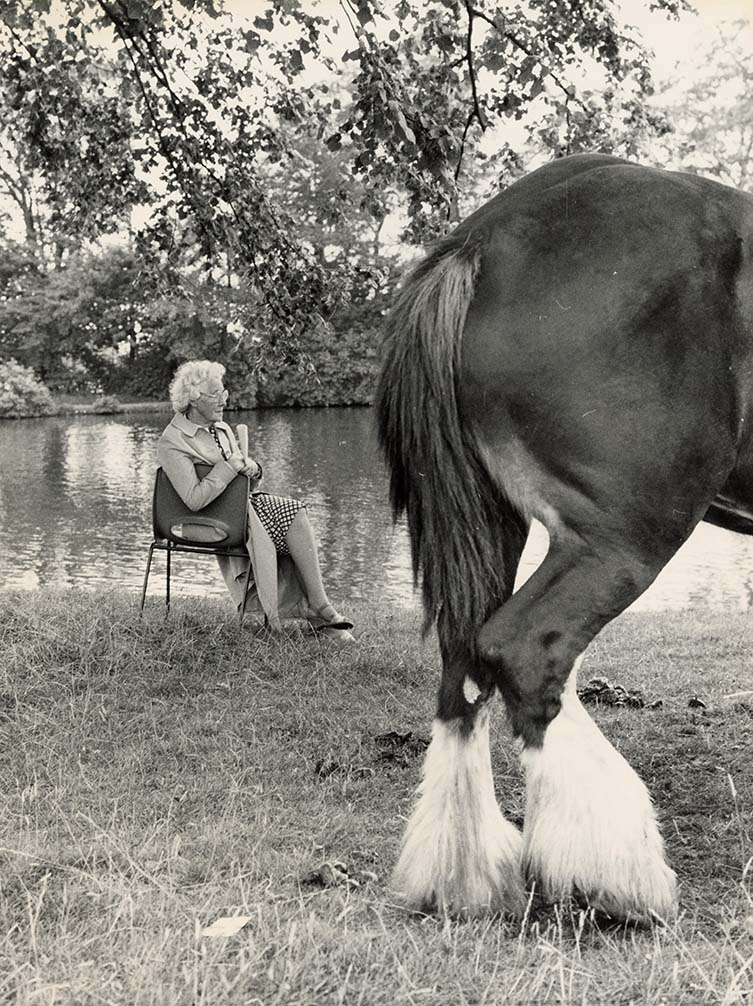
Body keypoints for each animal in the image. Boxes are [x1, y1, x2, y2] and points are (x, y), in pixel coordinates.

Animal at [375, 150, 751, 921]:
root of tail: (483, 240)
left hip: (495, 522)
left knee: (463, 666)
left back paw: (461, 880)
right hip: (620, 538)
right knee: (527, 650)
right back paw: (616, 877)